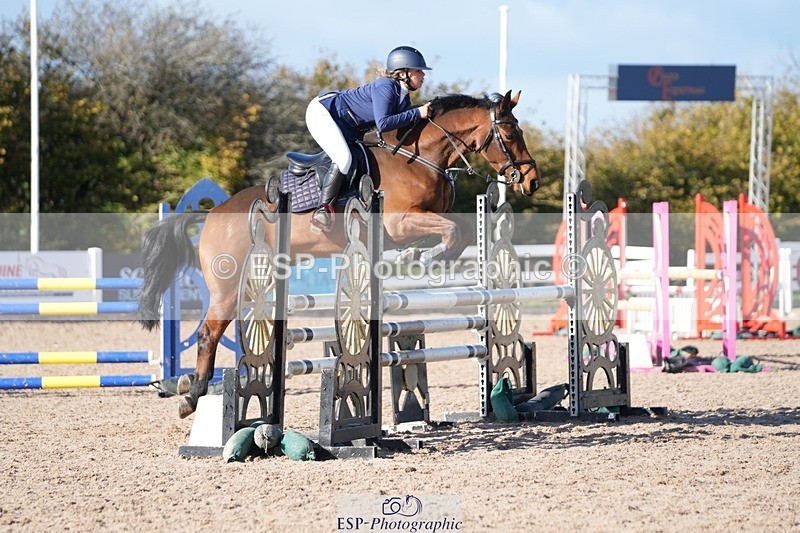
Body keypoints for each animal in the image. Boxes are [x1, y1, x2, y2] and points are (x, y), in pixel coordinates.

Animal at [136, 90, 540, 418]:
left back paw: (191, 386)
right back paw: (192, 396)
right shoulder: (399, 222)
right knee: (208, 332)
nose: (531, 181)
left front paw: (416, 257)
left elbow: (459, 232)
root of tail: (212, 213)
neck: (420, 158)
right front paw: (423, 259)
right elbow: (453, 232)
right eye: (509, 135)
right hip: (229, 285)